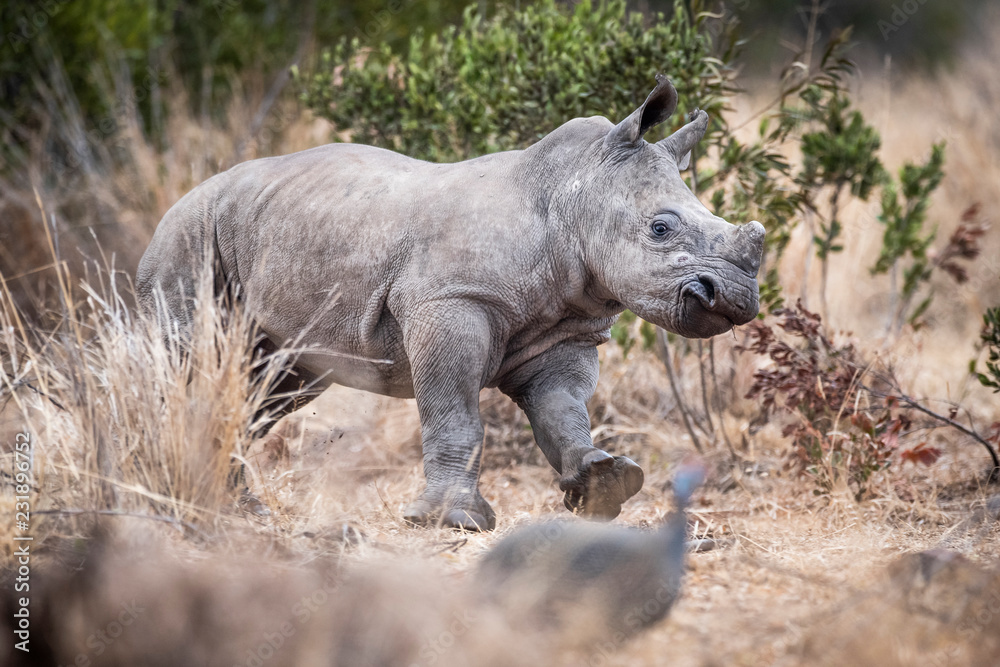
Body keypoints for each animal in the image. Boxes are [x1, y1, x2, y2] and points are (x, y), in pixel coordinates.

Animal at [136, 74, 764, 531]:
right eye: (660, 228)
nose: (734, 298)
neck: (571, 196)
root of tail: (185, 197)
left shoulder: (564, 329)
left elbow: (563, 410)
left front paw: (604, 484)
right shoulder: (450, 305)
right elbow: (455, 412)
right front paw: (453, 521)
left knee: (267, 387)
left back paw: (232, 507)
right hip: (188, 235)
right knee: (186, 359)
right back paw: (163, 495)